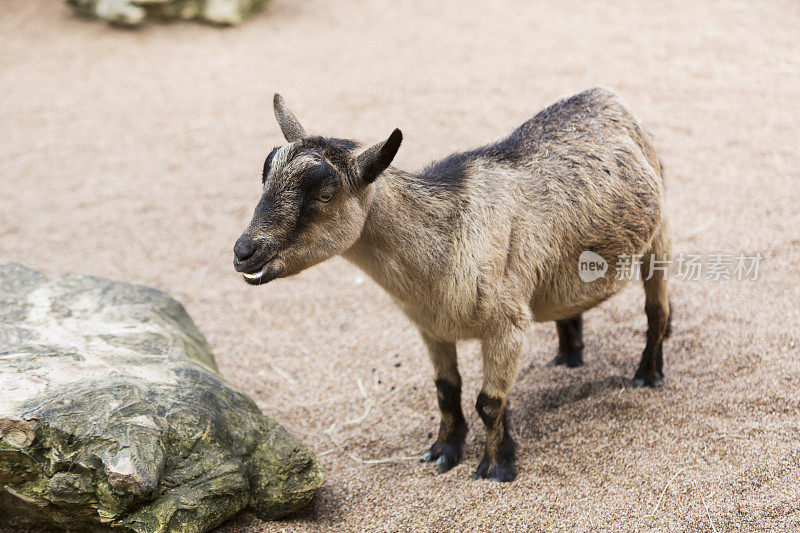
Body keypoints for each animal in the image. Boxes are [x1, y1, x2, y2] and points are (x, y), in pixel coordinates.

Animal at [234, 88, 672, 482]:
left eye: (326, 194)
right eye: (265, 177)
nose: (243, 251)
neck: (446, 242)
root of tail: (607, 96)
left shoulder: (507, 326)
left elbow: (489, 403)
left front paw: (496, 467)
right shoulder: (431, 328)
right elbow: (446, 390)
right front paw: (443, 451)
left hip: (661, 235)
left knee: (657, 308)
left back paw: (648, 373)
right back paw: (568, 356)